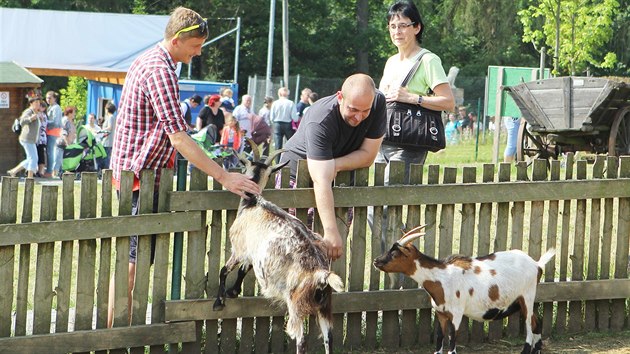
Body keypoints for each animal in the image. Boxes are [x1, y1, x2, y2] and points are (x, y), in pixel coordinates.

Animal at [214, 144, 346, 354]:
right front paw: (233, 292)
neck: (253, 203)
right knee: (329, 337)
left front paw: (219, 302)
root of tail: (321, 274)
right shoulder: (254, 253)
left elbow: (225, 269)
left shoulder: (240, 248)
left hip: (296, 302)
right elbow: (244, 269)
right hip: (325, 306)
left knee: (301, 339)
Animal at [372, 227, 556, 354]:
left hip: (527, 297)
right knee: (536, 323)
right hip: (519, 301)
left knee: (529, 327)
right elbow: (438, 343)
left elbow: (452, 346)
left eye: (395, 253)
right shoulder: (441, 314)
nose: (376, 261)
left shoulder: (456, 314)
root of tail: (537, 265)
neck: (442, 278)